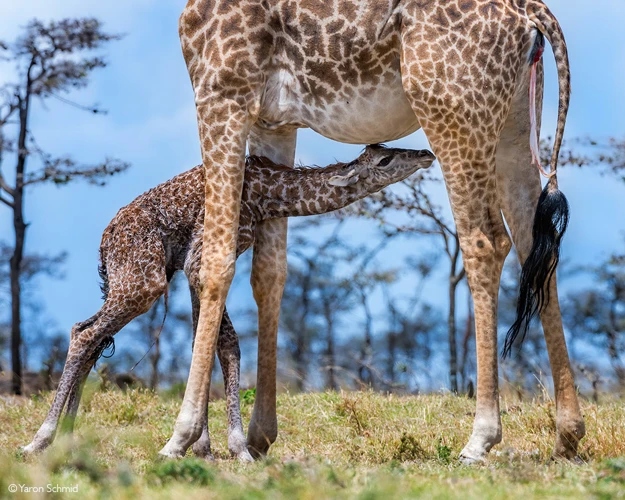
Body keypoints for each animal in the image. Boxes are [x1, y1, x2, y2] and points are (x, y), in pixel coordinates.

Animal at [23, 145, 434, 460]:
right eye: (385, 160)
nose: (426, 154)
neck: (266, 193)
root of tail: (105, 244)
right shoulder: (199, 258)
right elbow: (226, 343)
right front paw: (233, 447)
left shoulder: (193, 265)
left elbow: (206, 342)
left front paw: (203, 446)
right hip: (145, 280)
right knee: (84, 332)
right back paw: (39, 441)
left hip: (131, 281)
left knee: (90, 335)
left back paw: (68, 438)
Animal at [160, 0, 580, 462]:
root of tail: (531, 13)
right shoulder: (274, 124)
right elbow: (269, 274)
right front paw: (259, 436)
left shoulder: (222, 95)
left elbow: (214, 264)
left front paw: (182, 436)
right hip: (513, 120)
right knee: (534, 246)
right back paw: (568, 434)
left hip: (453, 115)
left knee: (486, 242)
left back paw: (480, 437)